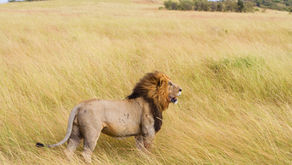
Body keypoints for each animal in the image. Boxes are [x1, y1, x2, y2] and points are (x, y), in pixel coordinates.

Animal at [35, 71, 181, 162]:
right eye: (170, 84)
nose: (181, 89)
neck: (154, 99)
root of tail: (80, 105)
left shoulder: (139, 134)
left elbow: (140, 151)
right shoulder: (148, 132)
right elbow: (148, 150)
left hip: (76, 132)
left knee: (68, 151)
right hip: (92, 133)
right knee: (86, 153)